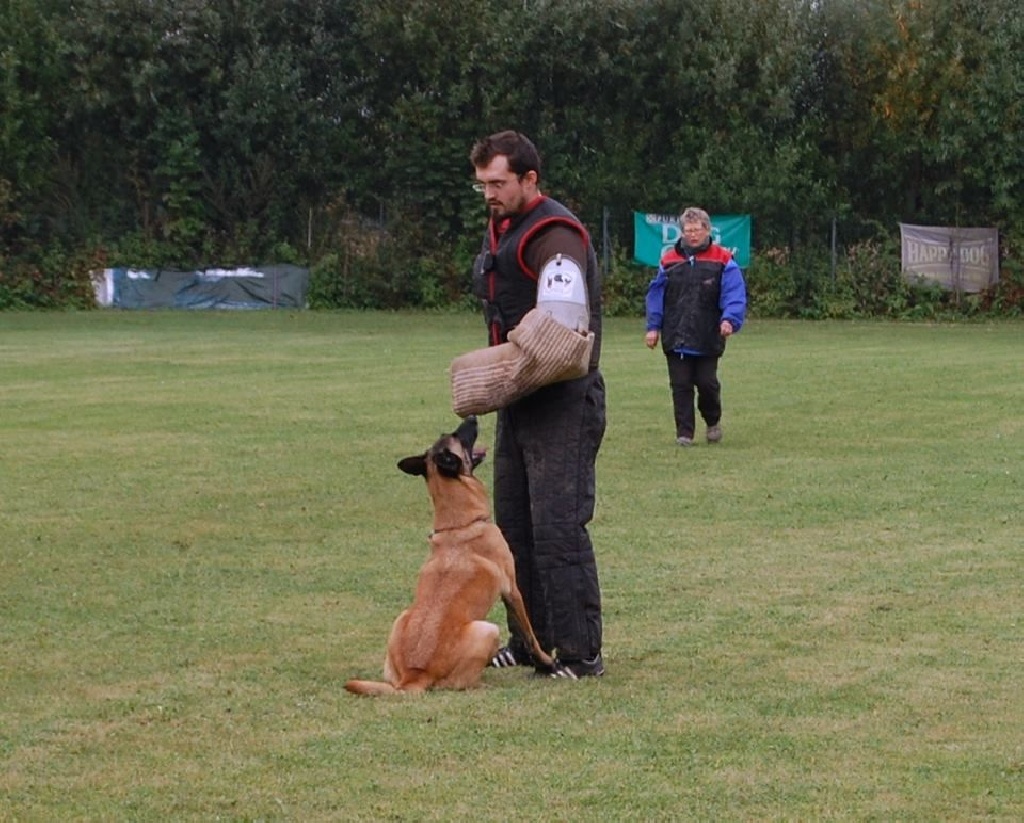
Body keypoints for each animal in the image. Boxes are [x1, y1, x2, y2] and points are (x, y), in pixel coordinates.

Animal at [342, 417, 552, 696]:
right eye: (458, 436)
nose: (472, 418)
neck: (459, 524)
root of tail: (414, 676)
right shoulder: (512, 589)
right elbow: (529, 633)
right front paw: (546, 660)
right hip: (487, 629)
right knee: (462, 683)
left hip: (401, 618)